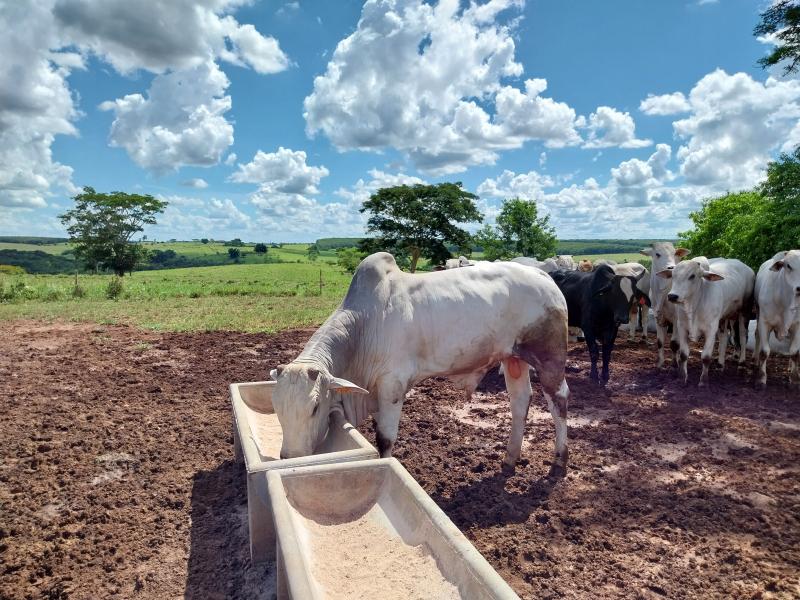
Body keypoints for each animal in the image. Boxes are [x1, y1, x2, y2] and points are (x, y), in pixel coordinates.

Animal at [272, 252, 572, 474]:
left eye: (315, 407)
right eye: (276, 408)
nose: (291, 456)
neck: (365, 325)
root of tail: (544, 275)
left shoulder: (392, 386)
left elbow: (385, 438)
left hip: (549, 357)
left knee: (559, 400)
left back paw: (560, 458)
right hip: (513, 358)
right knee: (520, 402)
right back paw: (510, 458)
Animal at [652, 256, 752, 386]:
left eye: (692, 276)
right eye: (673, 275)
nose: (672, 296)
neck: (694, 305)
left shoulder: (710, 330)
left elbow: (705, 357)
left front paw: (703, 381)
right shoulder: (682, 327)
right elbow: (683, 354)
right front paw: (682, 377)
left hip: (744, 312)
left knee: (743, 337)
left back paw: (741, 365)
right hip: (723, 319)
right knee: (724, 338)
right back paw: (720, 366)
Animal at [752, 250, 796, 386]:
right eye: (788, 266)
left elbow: (795, 352)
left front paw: (794, 378)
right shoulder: (764, 323)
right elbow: (765, 351)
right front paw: (761, 379)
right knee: (757, 335)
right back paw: (755, 360)